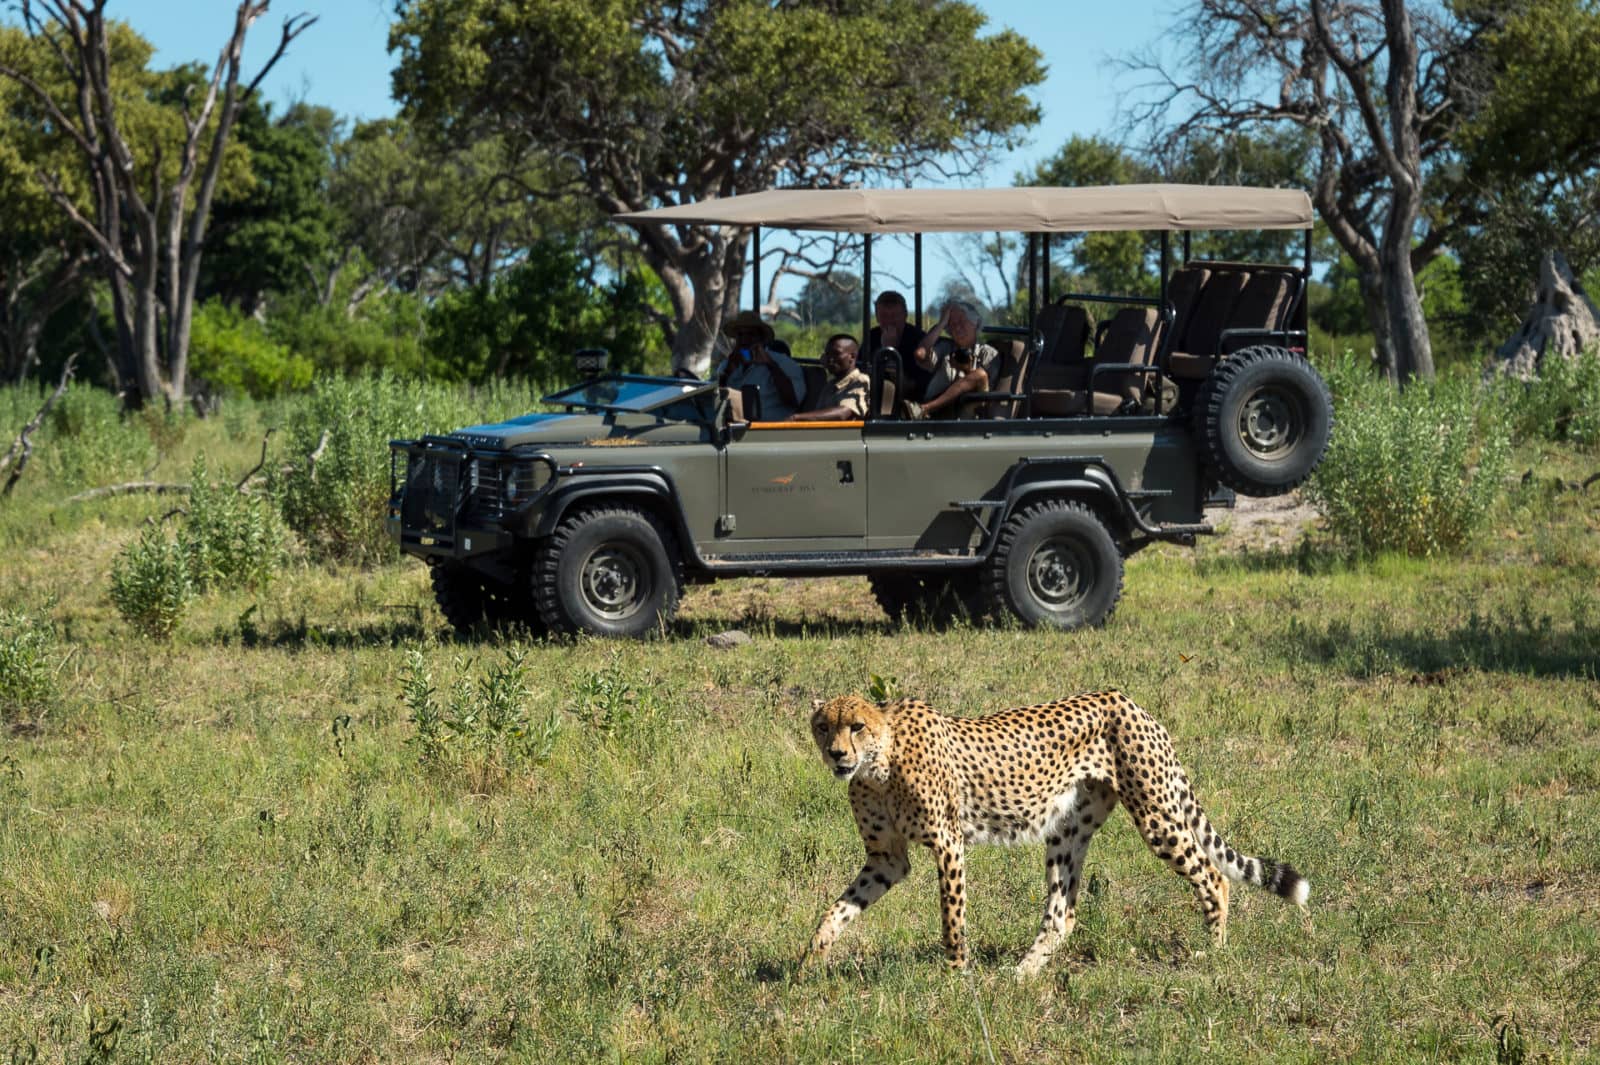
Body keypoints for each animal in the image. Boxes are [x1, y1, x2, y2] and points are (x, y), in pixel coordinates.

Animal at [803, 691, 1310, 976]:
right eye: (823, 726)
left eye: (857, 726)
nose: (836, 754)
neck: (879, 766)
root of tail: (1129, 701)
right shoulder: (886, 858)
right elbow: (838, 909)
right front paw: (810, 963)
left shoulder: (948, 844)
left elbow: (951, 919)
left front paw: (955, 977)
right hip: (1067, 830)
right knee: (1062, 913)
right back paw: (1023, 973)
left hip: (1157, 817)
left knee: (1214, 876)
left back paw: (1214, 951)